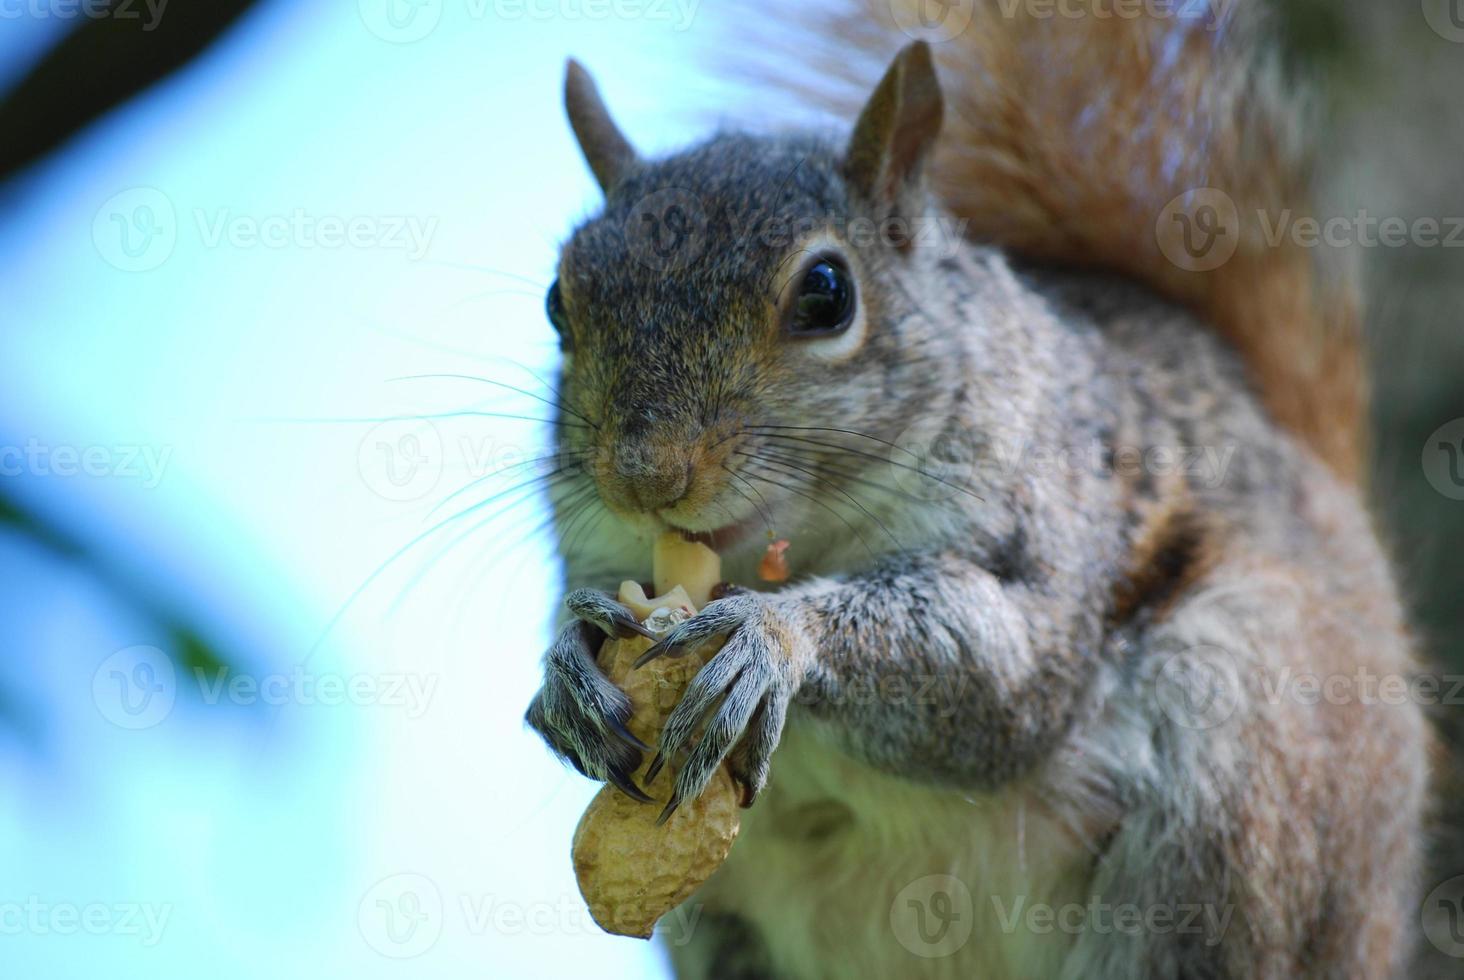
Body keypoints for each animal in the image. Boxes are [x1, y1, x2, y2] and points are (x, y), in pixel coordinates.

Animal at [524, 3, 1428, 972]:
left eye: (828, 294)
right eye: (556, 302)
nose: (645, 475)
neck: (797, 542)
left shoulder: (1049, 517)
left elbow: (1004, 664)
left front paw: (772, 637)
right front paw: (569, 667)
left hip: (1243, 783)